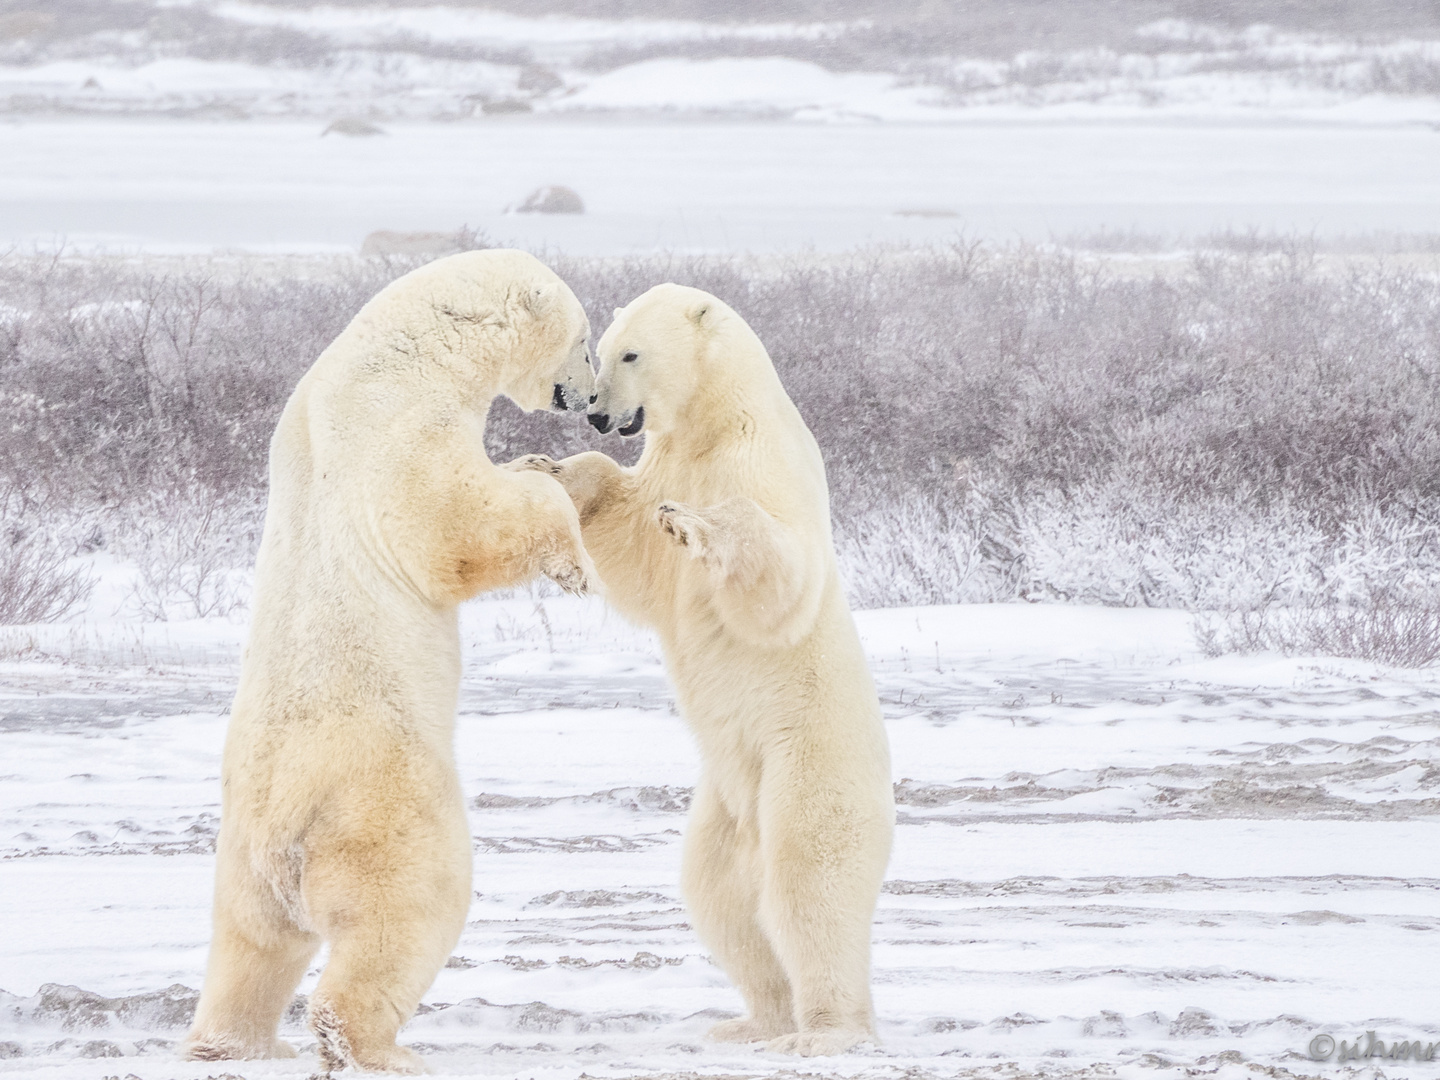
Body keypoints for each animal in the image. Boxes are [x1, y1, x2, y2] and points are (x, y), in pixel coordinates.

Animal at [181, 252, 596, 1077]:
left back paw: (233, 1042)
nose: (591, 397)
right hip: (384, 804)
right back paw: (378, 1046)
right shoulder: (395, 425)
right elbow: (459, 525)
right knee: (407, 911)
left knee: (249, 945)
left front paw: (541, 460)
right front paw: (571, 558)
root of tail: (283, 829)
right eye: (585, 337)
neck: (407, 347)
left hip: (239, 857)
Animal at [512, 280, 892, 1059]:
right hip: (725, 805)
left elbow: (777, 577)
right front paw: (547, 470)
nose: (596, 412)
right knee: (722, 900)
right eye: (601, 348)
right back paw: (751, 1022)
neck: (714, 422)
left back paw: (824, 1033)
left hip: (805, 765)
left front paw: (695, 524)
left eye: (630, 353)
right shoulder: (669, 462)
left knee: (811, 884)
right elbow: (628, 540)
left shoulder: (760, 466)